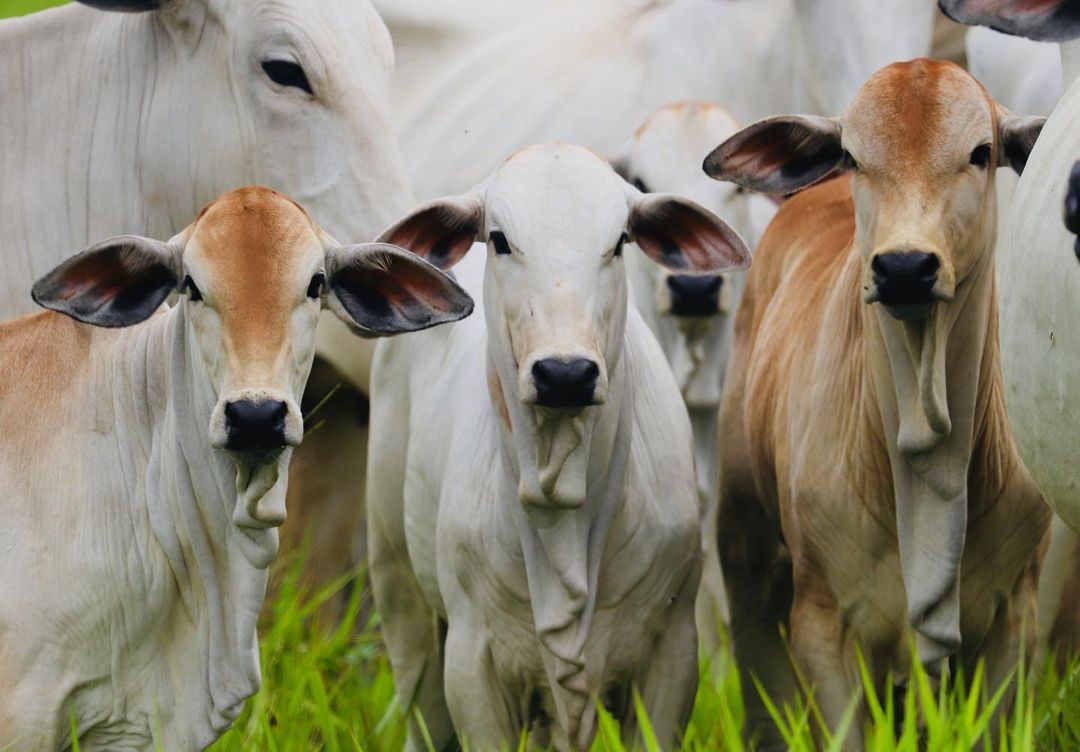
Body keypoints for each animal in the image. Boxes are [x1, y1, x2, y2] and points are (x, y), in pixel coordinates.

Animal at [362, 142, 751, 751]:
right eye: (500, 239)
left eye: (620, 240)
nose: (565, 373)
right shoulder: (471, 662)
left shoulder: (672, 654)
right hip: (398, 585)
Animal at [704, 60, 1049, 747]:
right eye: (854, 157)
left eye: (980, 152)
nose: (906, 267)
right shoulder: (822, 621)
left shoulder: (1014, 615)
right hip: (745, 548)